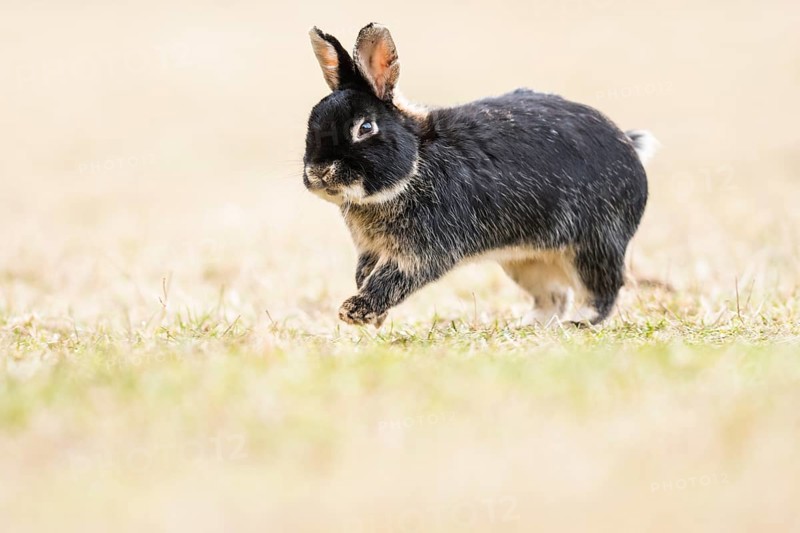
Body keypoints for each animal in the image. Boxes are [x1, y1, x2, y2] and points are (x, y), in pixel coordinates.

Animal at [303, 23, 656, 327]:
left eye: (365, 127)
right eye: (312, 122)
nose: (319, 172)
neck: (417, 163)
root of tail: (630, 149)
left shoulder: (421, 250)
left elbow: (390, 278)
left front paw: (354, 311)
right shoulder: (371, 250)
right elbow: (366, 274)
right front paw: (374, 319)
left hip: (593, 245)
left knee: (603, 288)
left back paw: (579, 321)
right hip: (526, 261)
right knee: (554, 296)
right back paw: (527, 325)